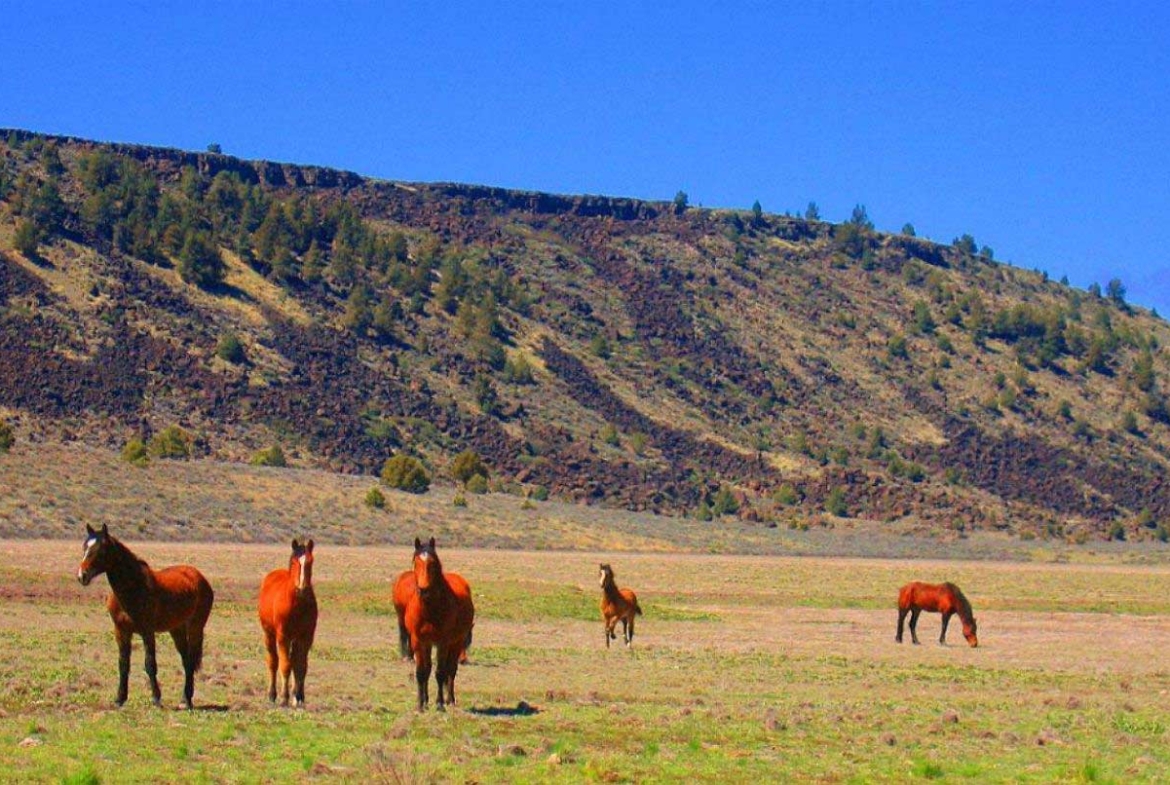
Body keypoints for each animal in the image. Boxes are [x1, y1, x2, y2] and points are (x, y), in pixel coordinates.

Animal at [75, 524, 215, 711]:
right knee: (186, 660)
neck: (132, 588)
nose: (82, 576)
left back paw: (187, 700)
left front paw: (156, 699)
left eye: (101, 550)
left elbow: (150, 664)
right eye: (85, 547)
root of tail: (199, 576)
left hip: (195, 627)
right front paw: (119, 699)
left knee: (191, 660)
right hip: (176, 629)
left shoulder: (147, 632)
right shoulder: (121, 632)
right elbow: (123, 664)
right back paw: (184, 698)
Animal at [258, 540, 318, 706]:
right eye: (294, 562)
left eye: (310, 561)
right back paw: (272, 695)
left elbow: (301, 666)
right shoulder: (283, 636)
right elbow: (285, 665)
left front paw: (299, 697)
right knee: (273, 661)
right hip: (269, 634)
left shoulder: (306, 637)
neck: (297, 604)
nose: (302, 588)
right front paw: (284, 697)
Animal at [402, 540, 475, 711]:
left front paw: (440, 703)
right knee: (430, 669)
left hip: (456, 642)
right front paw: (420, 704)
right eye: (416, 563)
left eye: (433, 563)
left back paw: (450, 699)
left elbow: (440, 673)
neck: (429, 610)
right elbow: (421, 672)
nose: (423, 590)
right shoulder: (419, 641)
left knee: (451, 670)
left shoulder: (443, 642)